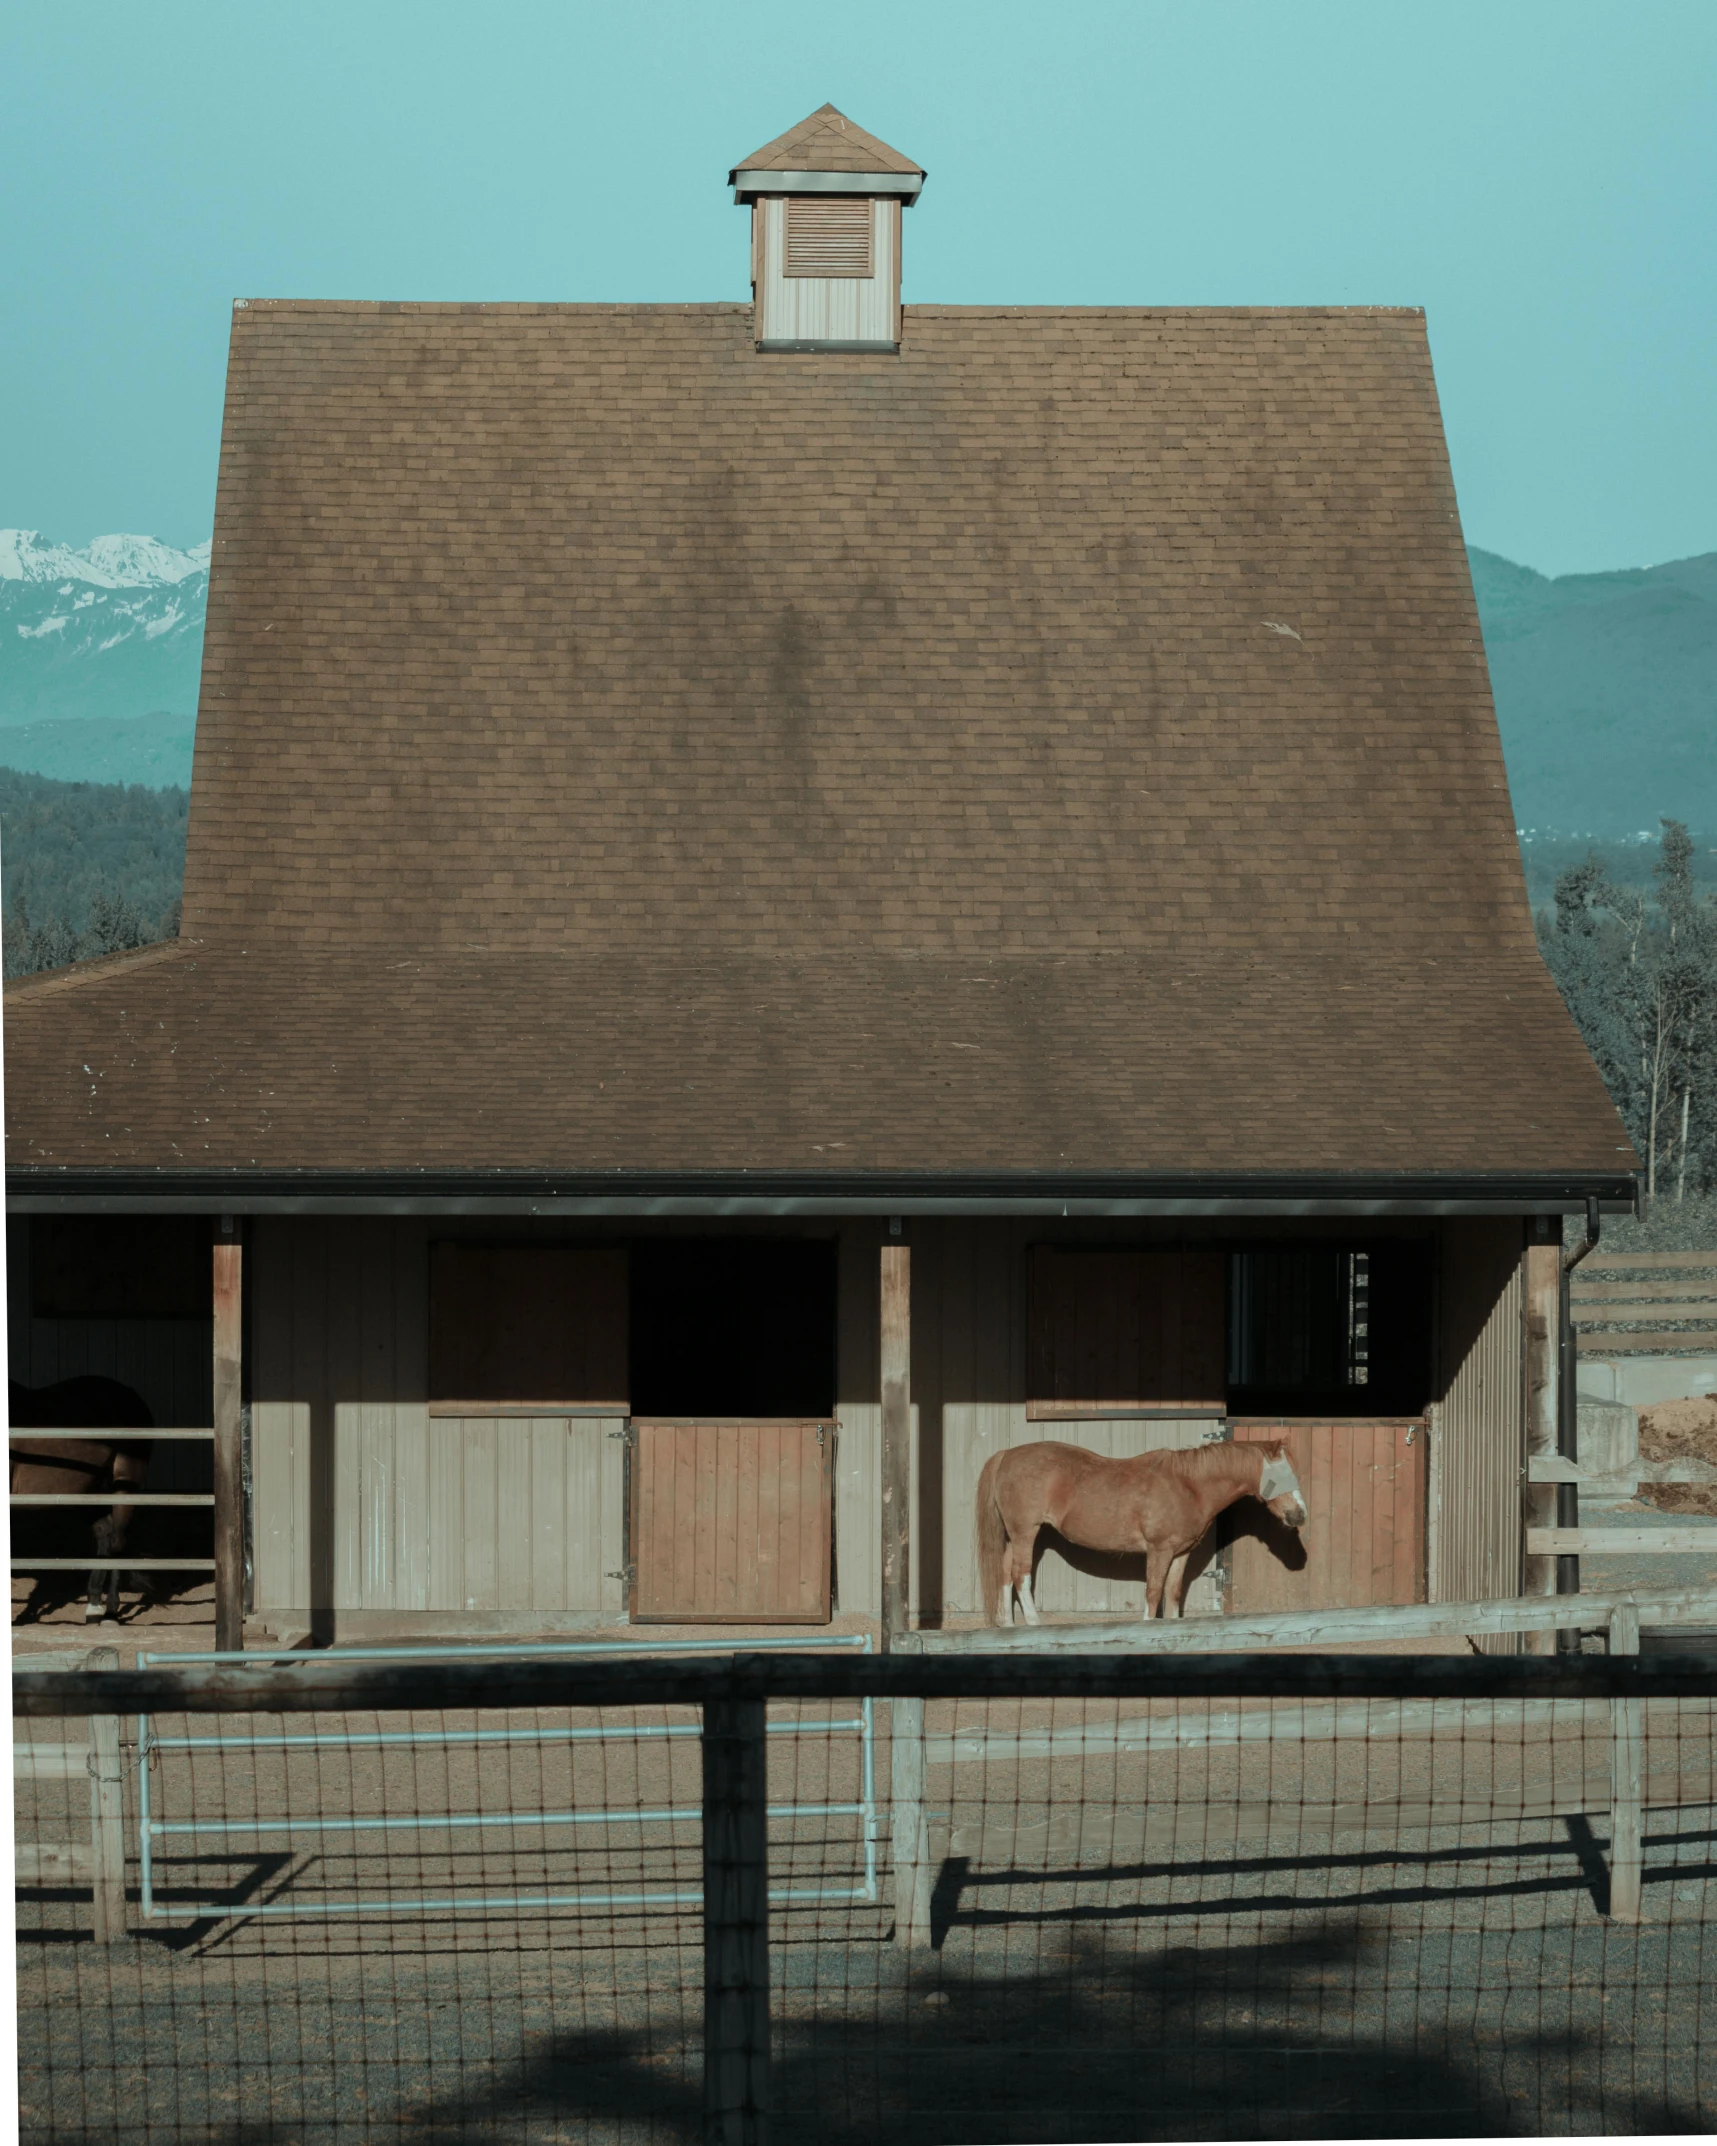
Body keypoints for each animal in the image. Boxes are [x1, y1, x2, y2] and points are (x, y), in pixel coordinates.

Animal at [8, 1382, 154, 1613]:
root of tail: (131, 1395)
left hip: (124, 1485)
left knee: (118, 1540)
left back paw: (110, 1609)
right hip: (85, 1490)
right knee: (105, 1531)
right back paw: (94, 1601)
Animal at [974, 1442, 1304, 1622]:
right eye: (1281, 1475)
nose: (1299, 1514)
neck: (1188, 1486)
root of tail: (1007, 1455)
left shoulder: (1181, 1553)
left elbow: (1172, 1595)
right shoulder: (1159, 1550)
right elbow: (1153, 1592)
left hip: (1014, 1535)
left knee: (1005, 1573)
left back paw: (1008, 1625)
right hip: (1025, 1532)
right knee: (1020, 1574)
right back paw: (1033, 1623)